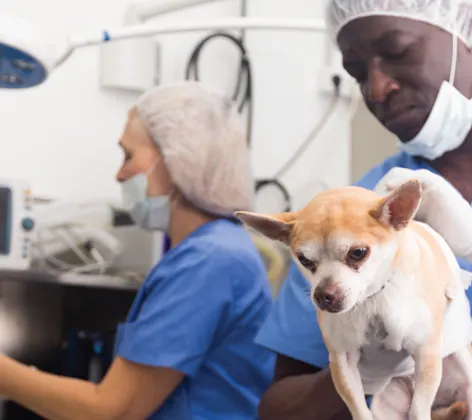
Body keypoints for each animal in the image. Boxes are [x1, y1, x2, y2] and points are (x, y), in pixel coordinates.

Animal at [238, 181, 472, 420]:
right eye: (304, 260)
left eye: (358, 253)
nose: (323, 294)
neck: (372, 299)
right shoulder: (343, 362)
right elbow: (358, 407)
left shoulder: (426, 352)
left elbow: (418, 409)